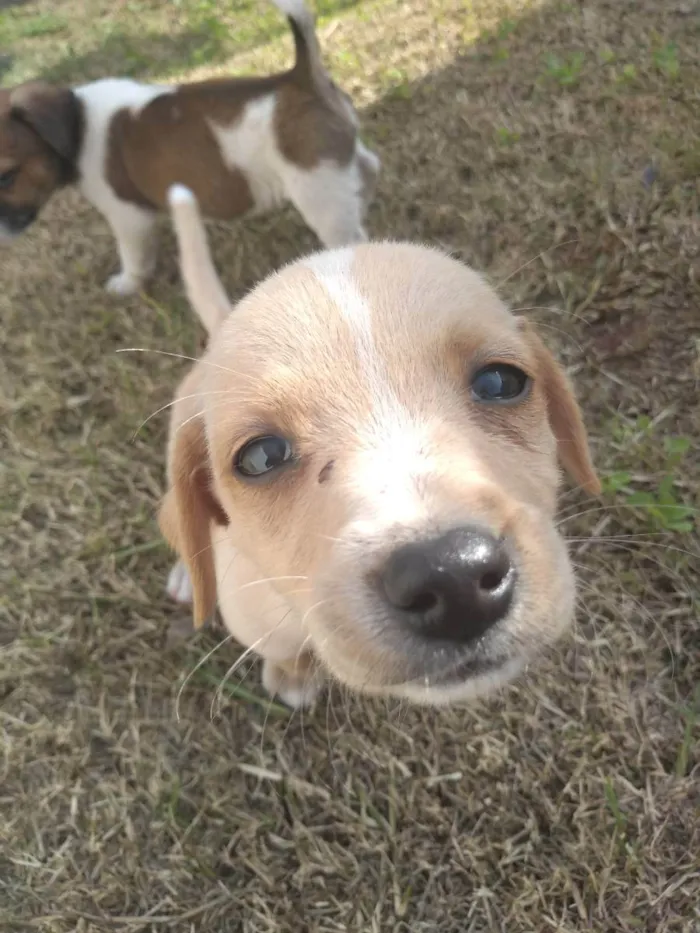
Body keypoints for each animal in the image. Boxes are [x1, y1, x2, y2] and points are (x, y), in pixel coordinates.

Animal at [0, 0, 378, 294]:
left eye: (6, 178)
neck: (79, 120)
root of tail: (298, 78)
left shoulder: (128, 216)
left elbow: (133, 254)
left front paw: (128, 283)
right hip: (338, 169)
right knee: (365, 171)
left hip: (318, 192)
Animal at [160, 186, 600, 708]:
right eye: (261, 457)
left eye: (500, 382)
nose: (452, 576)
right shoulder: (255, 616)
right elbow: (282, 648)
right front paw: (291, 675)